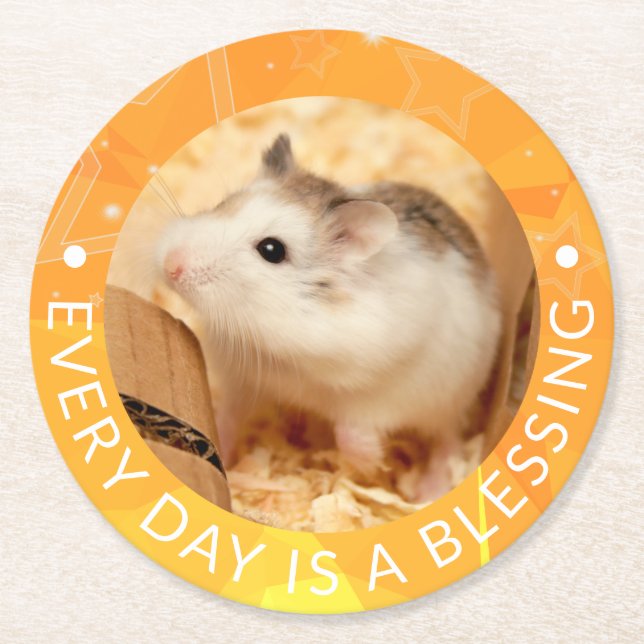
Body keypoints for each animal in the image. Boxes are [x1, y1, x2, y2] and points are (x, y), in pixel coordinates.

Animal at [157, 134, 502, 502]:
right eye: (224, 203)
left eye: (271, 250)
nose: (171, 265)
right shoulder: (244, 377)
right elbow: (227, 416)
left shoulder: (383, 391)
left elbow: (351, 435)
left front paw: (375, 469)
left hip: (451, 394)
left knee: (448, 440)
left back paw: (425, 493)